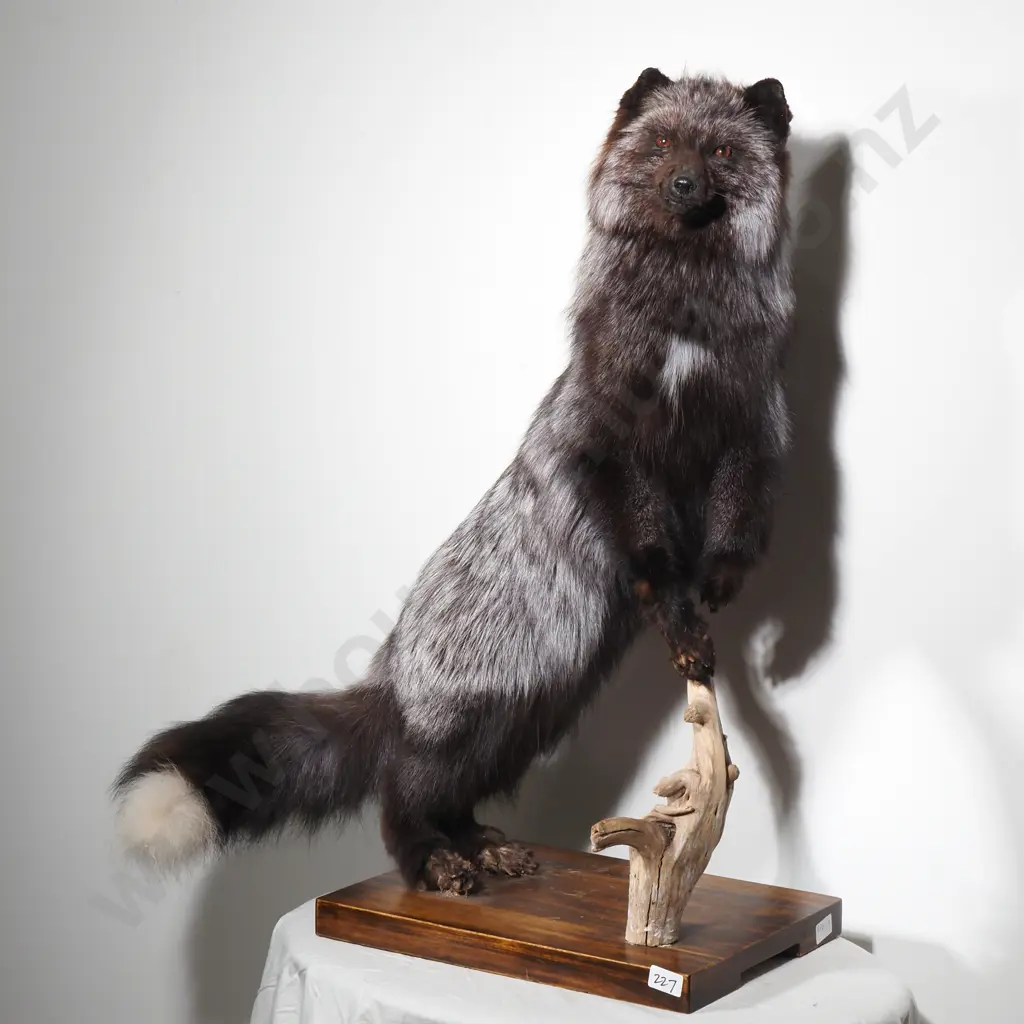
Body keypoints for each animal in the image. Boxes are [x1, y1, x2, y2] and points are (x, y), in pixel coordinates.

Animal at [114, 68, 794, 896]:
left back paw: (484, 848)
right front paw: (683, 624)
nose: (683, 183)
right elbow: (654, 561)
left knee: (451, 798)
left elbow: (734, 528)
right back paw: (435, 864)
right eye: (662, 141)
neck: (687, 338)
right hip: (475, 721)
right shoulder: (614, 448)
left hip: (527, 720)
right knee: (400, 797)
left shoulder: (748, 435)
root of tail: (392, 677)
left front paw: (719, 593)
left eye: (722, 150)